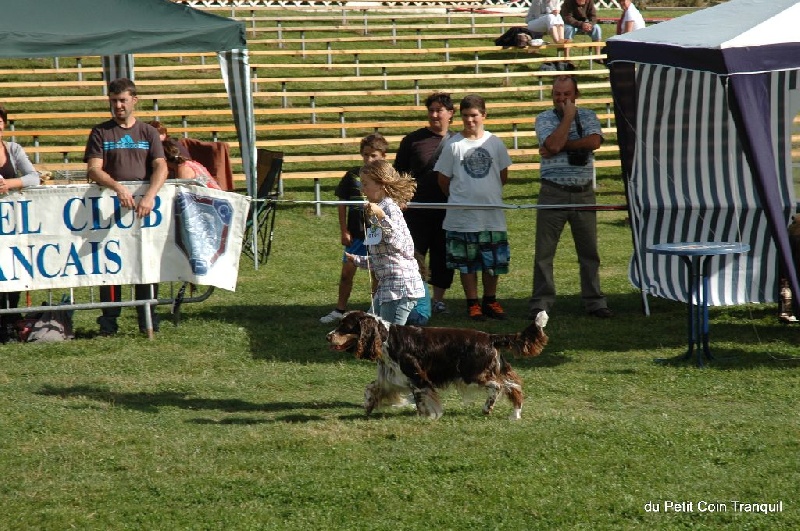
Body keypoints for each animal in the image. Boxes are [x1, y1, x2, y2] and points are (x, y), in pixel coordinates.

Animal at [328, 312, 548, 420]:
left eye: (344, 327)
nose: (328, 336)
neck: (387, 339)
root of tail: (491, 338)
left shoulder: (417, 377)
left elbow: (422, 399)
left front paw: (427, 416)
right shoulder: (393, 378)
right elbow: (371, 387)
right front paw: (367, 405)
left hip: (472, 374)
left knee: (497, 386)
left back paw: (487, 408)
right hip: (493, 370)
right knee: (514, 387)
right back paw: (515, 415)